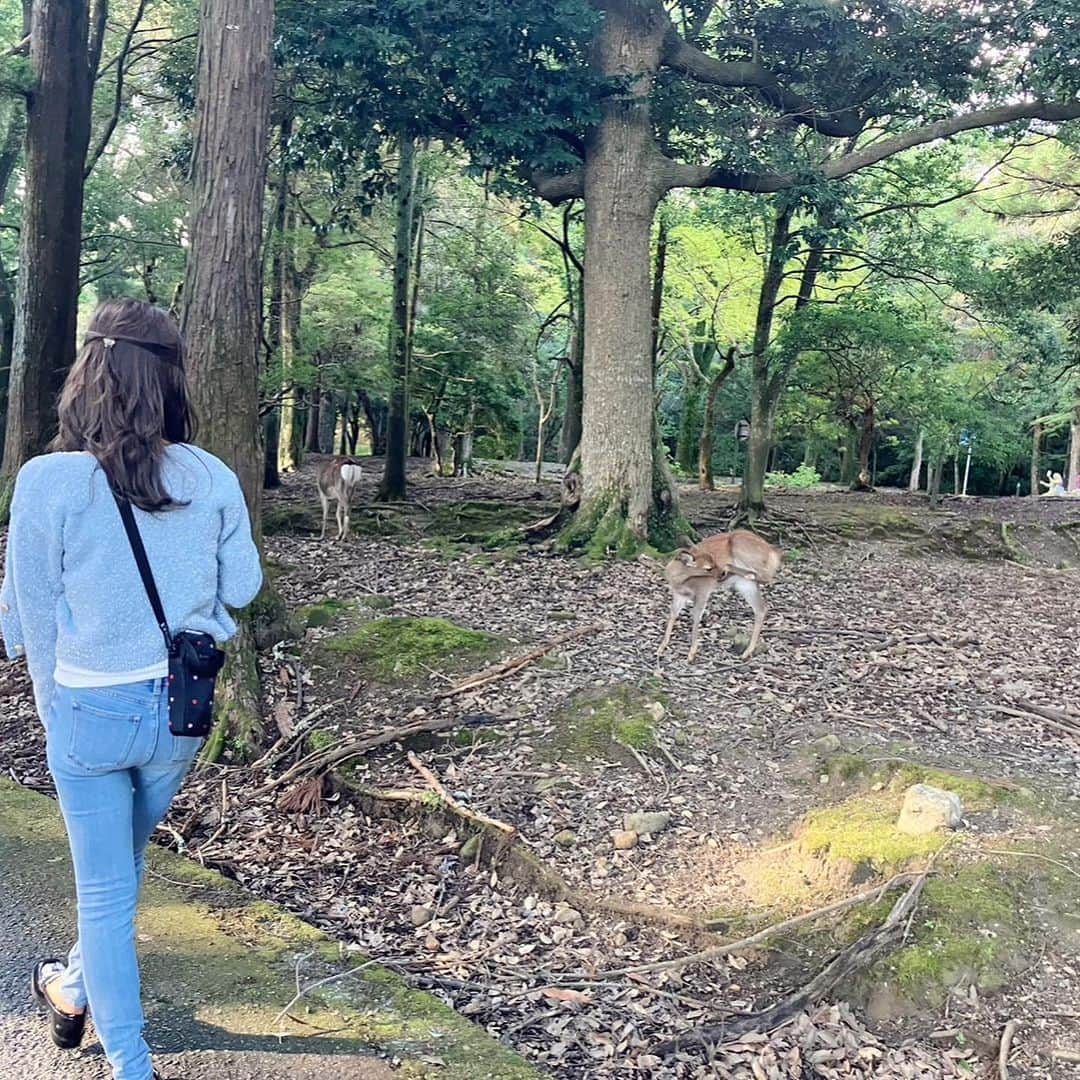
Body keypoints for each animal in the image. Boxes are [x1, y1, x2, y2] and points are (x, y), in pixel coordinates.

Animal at [656, 529, 786, 660]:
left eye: (713, 559)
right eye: (708, 568)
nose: (721, 573)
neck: (679, 580)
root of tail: (773, 552)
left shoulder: (703, 590)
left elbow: (696, 616)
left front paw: (691, 653)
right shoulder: (679, 595)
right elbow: (672, 614)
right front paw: (660, 648)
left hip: (741, 546)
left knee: (766, 577)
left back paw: (736, 570)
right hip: (745, 585)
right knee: (761, 608)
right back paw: (747, 652)